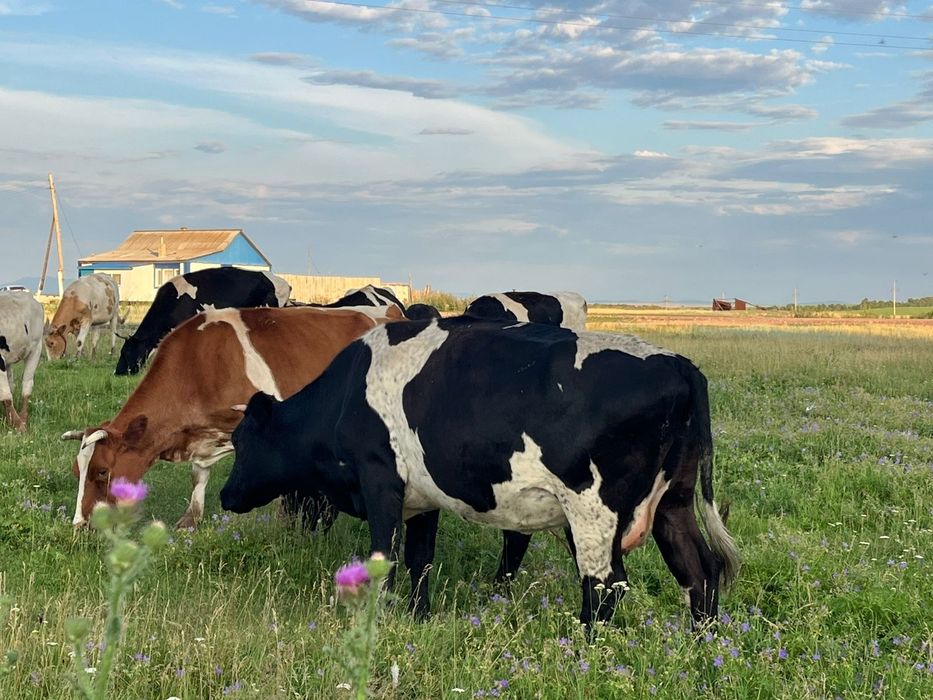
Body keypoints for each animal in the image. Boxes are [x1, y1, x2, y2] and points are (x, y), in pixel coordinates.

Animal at [0, 291, 44, 431]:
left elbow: (5, 394)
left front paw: (18, 425)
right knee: (11, 385)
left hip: (36, 349)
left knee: (27, 385)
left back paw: (23, 419)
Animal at [63, 305, 398, 527]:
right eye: (77, 472)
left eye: (102, 471)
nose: (79, 525)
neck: (199, 365)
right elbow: (199, 474)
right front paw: (190, 520)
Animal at [219, 318, 739, 627]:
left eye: (241, 441)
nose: (225, 495)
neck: (346, 393)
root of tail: (679, 363)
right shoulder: (421, 498)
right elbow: (421, 560)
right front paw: (419, 618)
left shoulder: (380, 480)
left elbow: (385, 560)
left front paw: (379, 623)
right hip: (672, 502)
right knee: (700, 570)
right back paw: (702, 643)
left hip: (593, 509)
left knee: (604, 585)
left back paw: (581, 649)